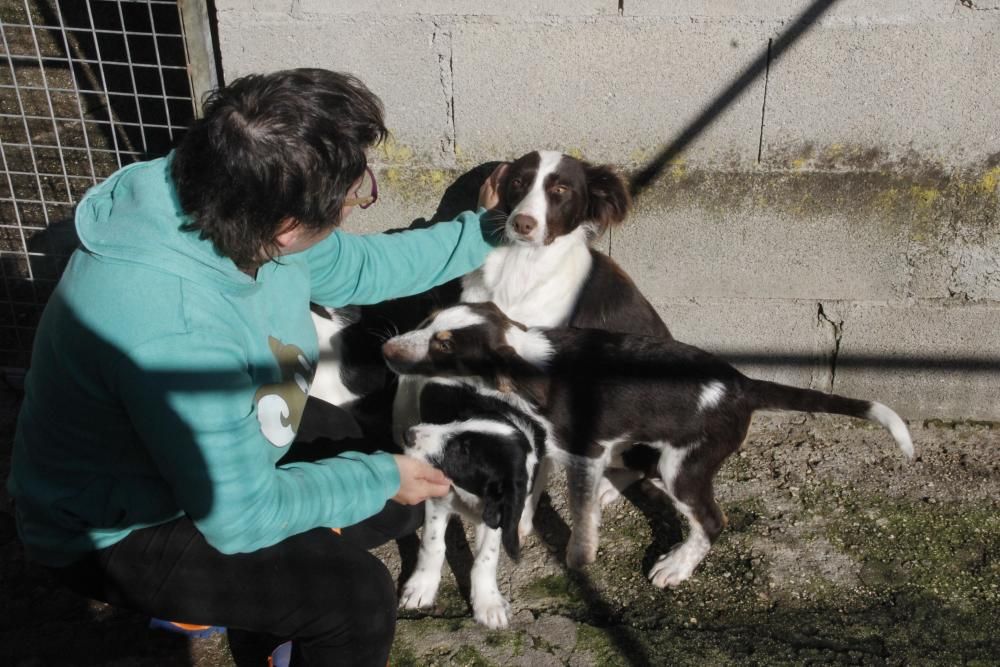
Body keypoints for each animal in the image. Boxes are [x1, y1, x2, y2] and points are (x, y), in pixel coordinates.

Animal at [382, 302, 916, 588]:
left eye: (444, 345)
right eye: (426, 321)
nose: (385, 350)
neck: (525, 363)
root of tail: (744, 385)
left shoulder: (584, 451)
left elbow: (578, 516)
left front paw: (579, 558)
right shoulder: (553, 443)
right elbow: (532, 486)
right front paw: (527, 521)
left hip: (686, 466)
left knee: (710, 520)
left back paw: (677, 565)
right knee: (638, 469)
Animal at [398, 378, 548, 628]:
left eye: (463, 452)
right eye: (455, 420)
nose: (409, 434)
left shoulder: (498, 512)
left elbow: (486, 557)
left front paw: (487, 601)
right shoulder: (439, 497)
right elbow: (433, 545)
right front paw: (422, 585)